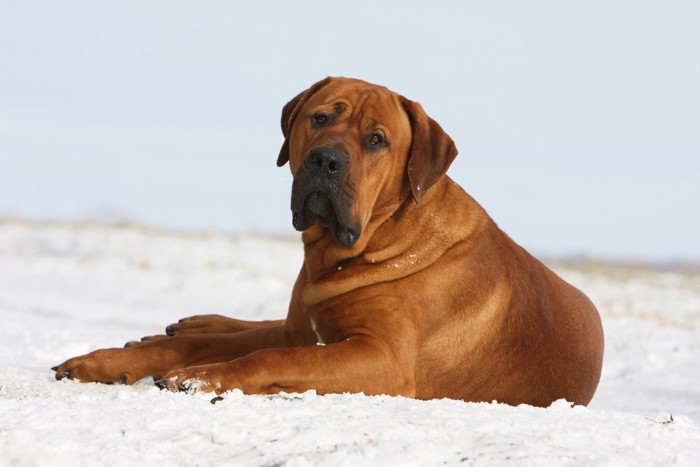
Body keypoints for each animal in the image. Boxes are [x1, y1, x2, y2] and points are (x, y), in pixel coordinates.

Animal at [52, 77, 604, 406]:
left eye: (377, 139)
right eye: (319, 118)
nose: (326, 160)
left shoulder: (380, 358)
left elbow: (269, 358)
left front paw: (204, 376)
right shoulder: (306, 331)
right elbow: (210, 345)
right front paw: (106, 361)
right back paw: (180, 326)